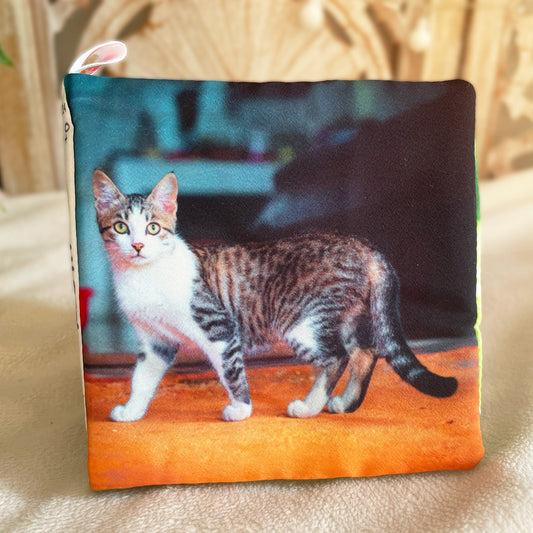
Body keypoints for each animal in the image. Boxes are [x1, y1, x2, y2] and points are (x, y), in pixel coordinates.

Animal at [92, 169, 458, 420]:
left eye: (153, 228)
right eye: (121, 227)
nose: (138, 246)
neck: (144, 276)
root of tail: (361, 244)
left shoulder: (219, 327)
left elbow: (231, 372)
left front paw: (241, 410)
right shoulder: (155, 341)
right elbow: (141, 378)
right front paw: (132, 412)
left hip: (305, 322)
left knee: (337, 357)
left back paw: (309, 407)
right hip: (345, 316)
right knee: (366, 351)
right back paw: (343, 403)